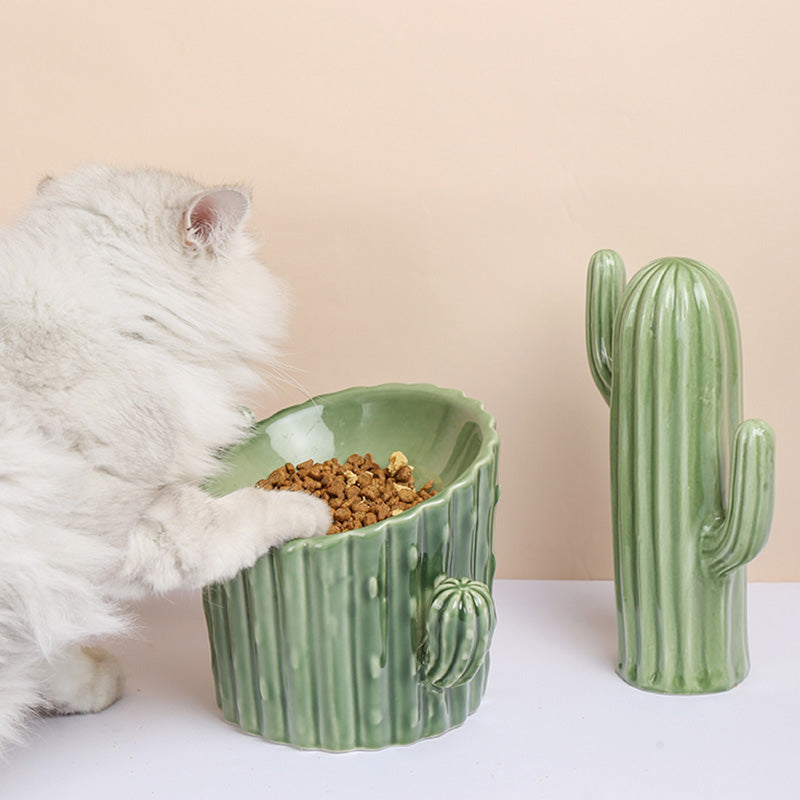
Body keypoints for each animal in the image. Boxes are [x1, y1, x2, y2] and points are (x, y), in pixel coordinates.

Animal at [0, 166, 332, 752]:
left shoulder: (51, 582)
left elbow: (50, 651)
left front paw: (87, 687)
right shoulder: (109, 529)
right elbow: (230, 523)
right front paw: (312, 511)